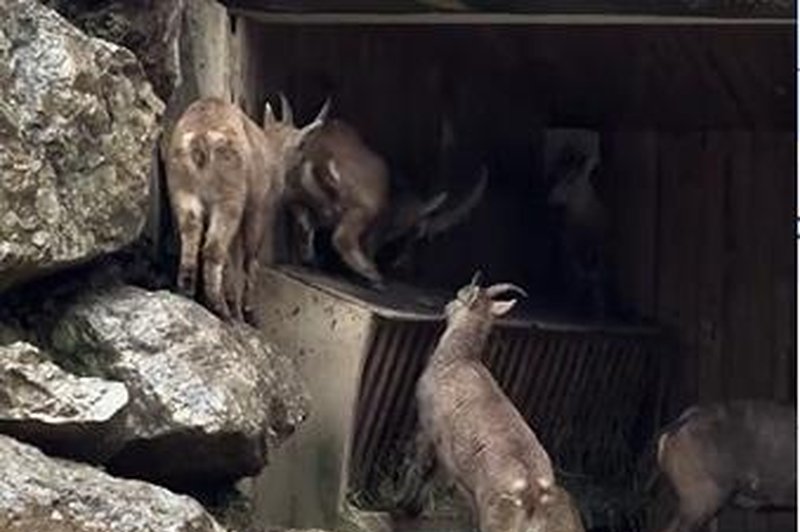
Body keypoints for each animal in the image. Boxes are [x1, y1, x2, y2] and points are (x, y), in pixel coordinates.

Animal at [167, 95, 330, 320]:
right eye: (302, 147)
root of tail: (199, 139)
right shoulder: (258, 208)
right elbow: (249, 259)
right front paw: (247, 310)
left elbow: (233, 258)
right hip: (228, 199)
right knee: (214, 248)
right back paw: (221, 308)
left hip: (183, 191)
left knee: (191, 234)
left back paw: (187, 291)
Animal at [410, 276, 584, 528]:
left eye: (460, 295)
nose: (446, 306)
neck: (456, 359)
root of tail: (532, 492)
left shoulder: (429, 426)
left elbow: (422, 469)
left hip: (496, 515)